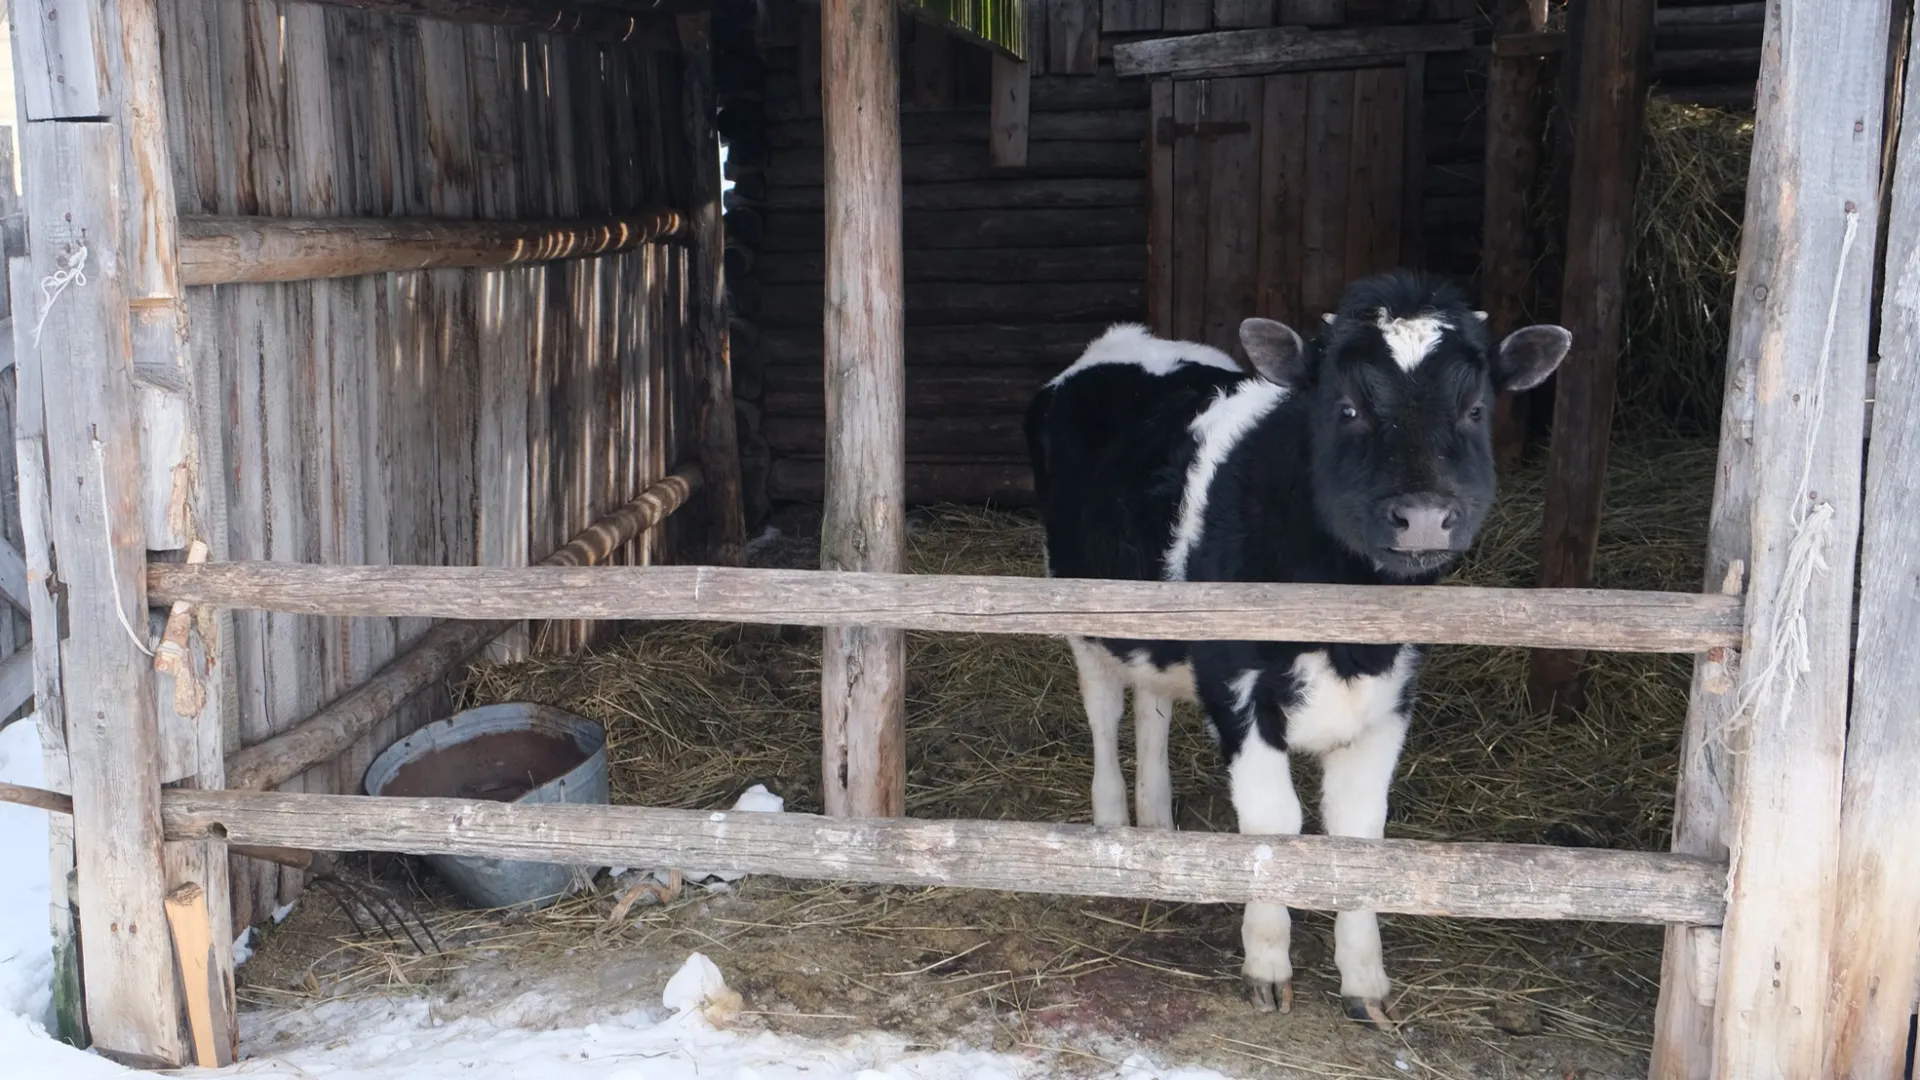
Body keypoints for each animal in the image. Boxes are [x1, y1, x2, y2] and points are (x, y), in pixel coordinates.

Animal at [1029, 270, 1566, 1022]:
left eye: (1474, 409)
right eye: (1346, 407)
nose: (1424, 517)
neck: (1343, 631)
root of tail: (1123, 340)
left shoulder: (1392, 696)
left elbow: (1359, 830)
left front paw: (1365, 982)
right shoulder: (1237, 685)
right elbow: (1272, 822)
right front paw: (1267, 963)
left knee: (1153, 714)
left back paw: (1159, 832)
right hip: (1078, 602)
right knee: (1105, 716)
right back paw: (1113, 837)